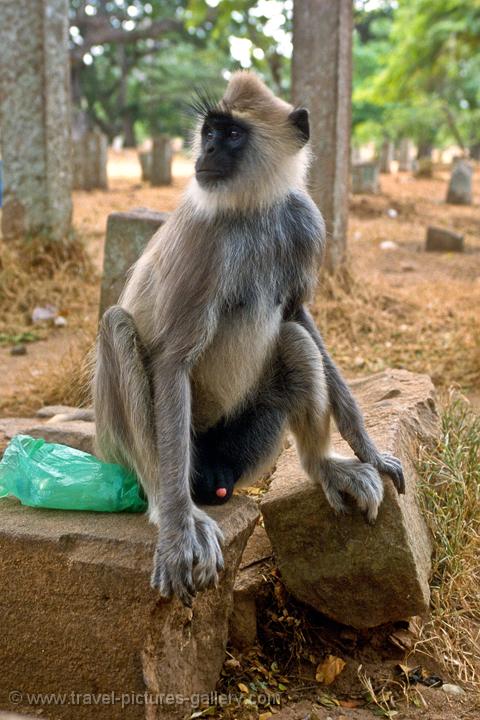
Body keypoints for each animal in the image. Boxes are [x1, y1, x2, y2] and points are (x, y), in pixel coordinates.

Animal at [93, 71, 404, 606]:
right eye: (209, 132)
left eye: (232, 134)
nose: (207, 151)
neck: (252, 209)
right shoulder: (203, 237)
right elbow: (173, 360)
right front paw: (177, 530)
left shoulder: (304, 219)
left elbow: (299, 315)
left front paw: (369, 449)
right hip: (153, 449)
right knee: (117, 325)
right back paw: (165, 502)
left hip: (246, 444)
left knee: (294, 340)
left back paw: (323, 465)